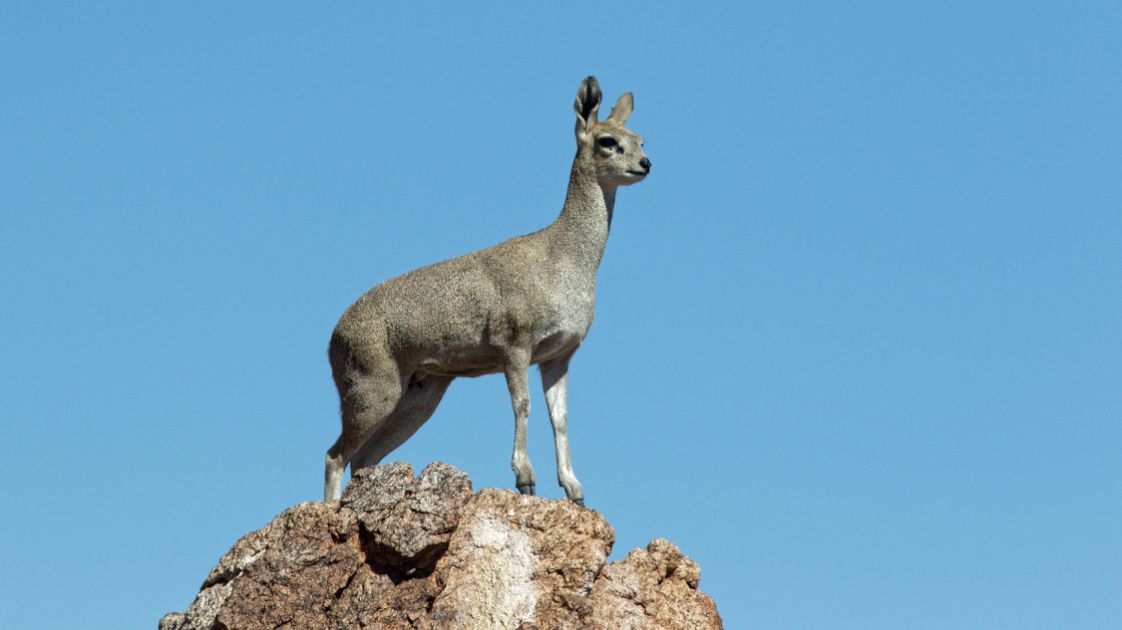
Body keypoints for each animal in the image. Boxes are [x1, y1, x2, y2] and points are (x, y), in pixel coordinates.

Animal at [324, 76, 650, 505]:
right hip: (370, 391)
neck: (564, 257)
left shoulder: (559, 355)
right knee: (335, 455)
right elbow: (523, 406)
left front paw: (575, 489)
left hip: (419, 396)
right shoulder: (515, 346)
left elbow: (560, 418)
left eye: (641, 139)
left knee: (363, 460)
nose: (646, 164)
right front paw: (525, 478)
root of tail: (333, 337)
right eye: (608, 141)